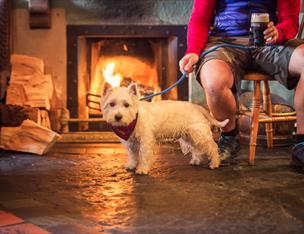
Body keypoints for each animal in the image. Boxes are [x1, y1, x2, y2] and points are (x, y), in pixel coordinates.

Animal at [100, 83, 228, 175]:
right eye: (111, 104)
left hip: (199, 134)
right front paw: (131, 165)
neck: (135, 119)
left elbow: (143, 155)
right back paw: (196, 161)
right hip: (190, 136)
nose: (118, 117)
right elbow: (132, 155)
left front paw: (142, 169)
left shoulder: (146, 141)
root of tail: (196, 106)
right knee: (197, 148)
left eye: (126, 105)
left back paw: (214, 163)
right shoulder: (131, 143)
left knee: (212, 147)